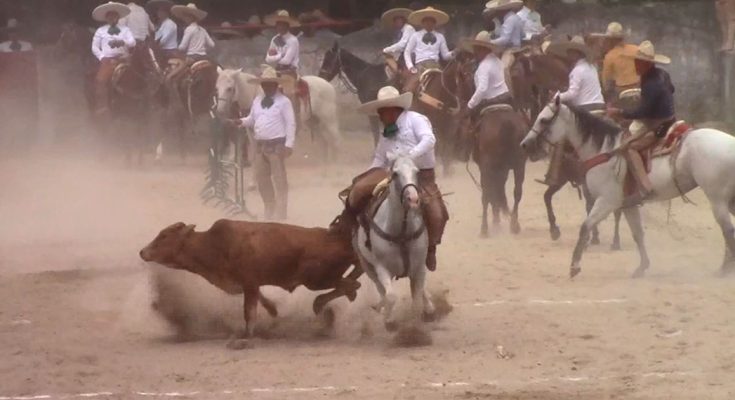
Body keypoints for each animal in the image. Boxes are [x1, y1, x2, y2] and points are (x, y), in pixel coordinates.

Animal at [139, 219, 362, 338]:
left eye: (164, 236)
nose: (142, 252)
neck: (212, 245)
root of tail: (343, 240)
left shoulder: (249, 283)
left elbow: (249, 312)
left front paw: (246, 337)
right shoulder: (248, 285)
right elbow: (261, 301)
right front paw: (272, 310)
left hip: (315, 279)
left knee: (351, 284)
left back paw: (325, 306)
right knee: (351, 282)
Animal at [356, 155, 436, 330]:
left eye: (417, 172)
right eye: (395, 174)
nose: (413, 199)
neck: (401, 232)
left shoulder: (419, 267)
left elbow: (417, 297)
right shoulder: (381, 268)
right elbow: (391, 296)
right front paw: (389, 320)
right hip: (367, 266)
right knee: (381, 290)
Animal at [524, 96, 735, 278]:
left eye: (543, 120)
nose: (525, 144)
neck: (604, 150)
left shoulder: (607, 201)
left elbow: (585, 227)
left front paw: (574, 266)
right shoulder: (628, 205)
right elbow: (638, 234)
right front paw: (642, 267)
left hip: (717, 200)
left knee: (728, 230)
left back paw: (724, 270)